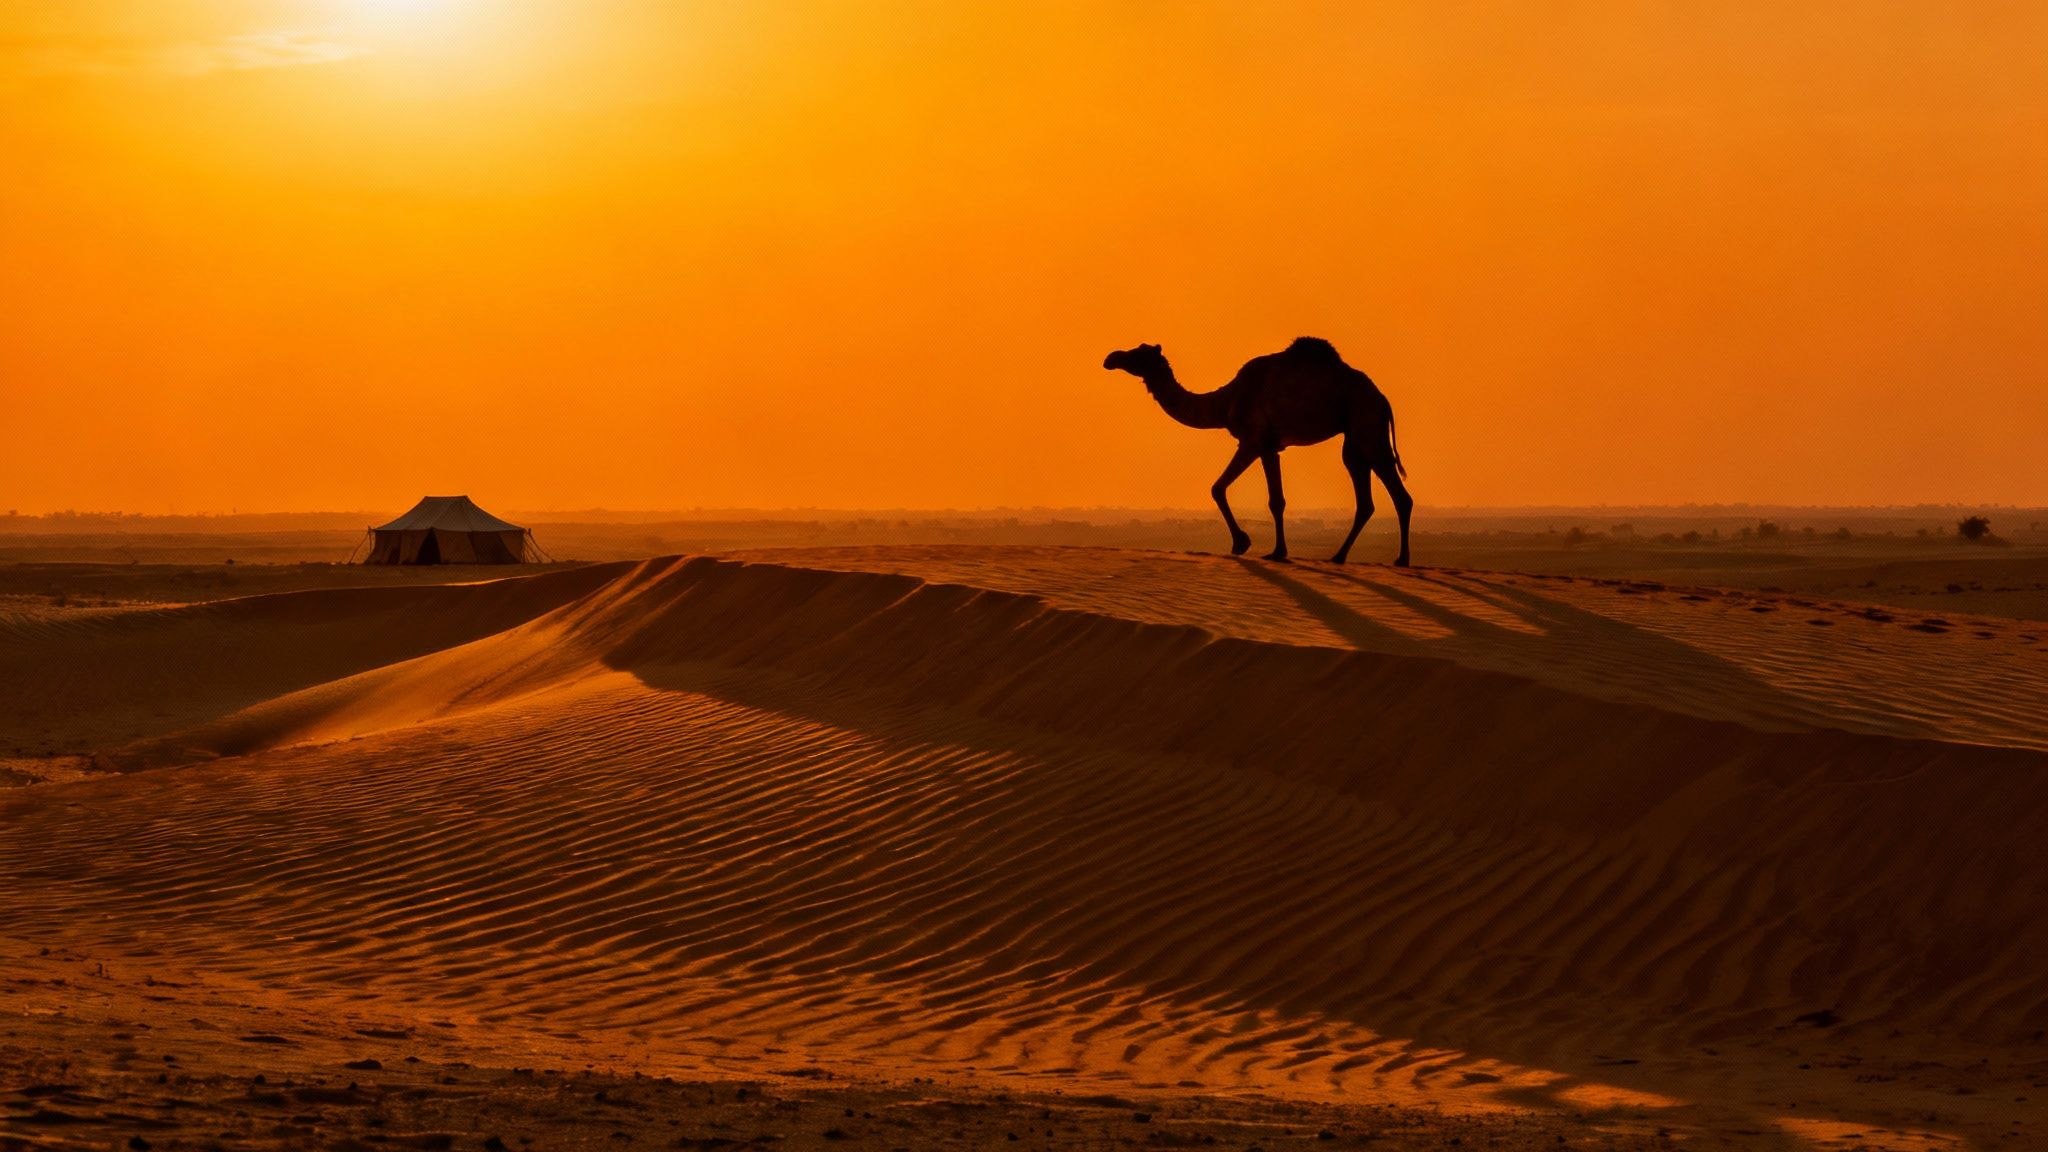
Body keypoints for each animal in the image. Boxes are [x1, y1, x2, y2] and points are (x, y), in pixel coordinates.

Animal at [1103, 337, 1412, 565]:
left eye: (1139, 354)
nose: (1111, 358)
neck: (1225, 401)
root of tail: (1383, 399)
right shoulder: (1263, 445)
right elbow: (1223, 488)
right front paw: (1248, 544)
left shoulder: (1257, 442)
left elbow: (1268, 499)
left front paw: (1262, 548)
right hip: (1355, 438)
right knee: (1365, 498)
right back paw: (1338, 556)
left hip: (1367, 425)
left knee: (1399, 495)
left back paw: (1401, 559)